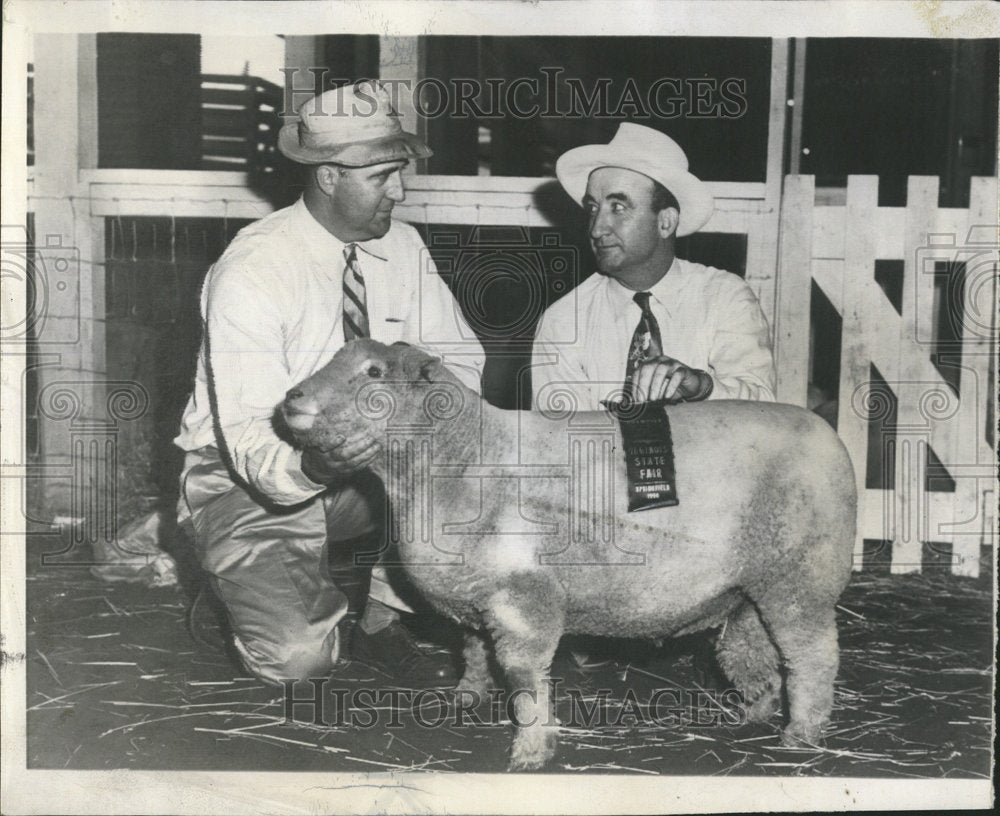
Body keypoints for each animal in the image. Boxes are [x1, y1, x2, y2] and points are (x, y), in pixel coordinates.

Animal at [282, 340, 860, 772]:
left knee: (813, 659)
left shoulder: (524, 596)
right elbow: (472, 652)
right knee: (752, 651)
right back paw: (755, 713)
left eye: (373, 372)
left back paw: (801, 735)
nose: (291, 399)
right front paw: (466, 698)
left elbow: (522, 675)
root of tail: (829, 436)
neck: (464, 456)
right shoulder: (477, 592)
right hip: (750, 588)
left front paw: (531, 750)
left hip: (801, 578)